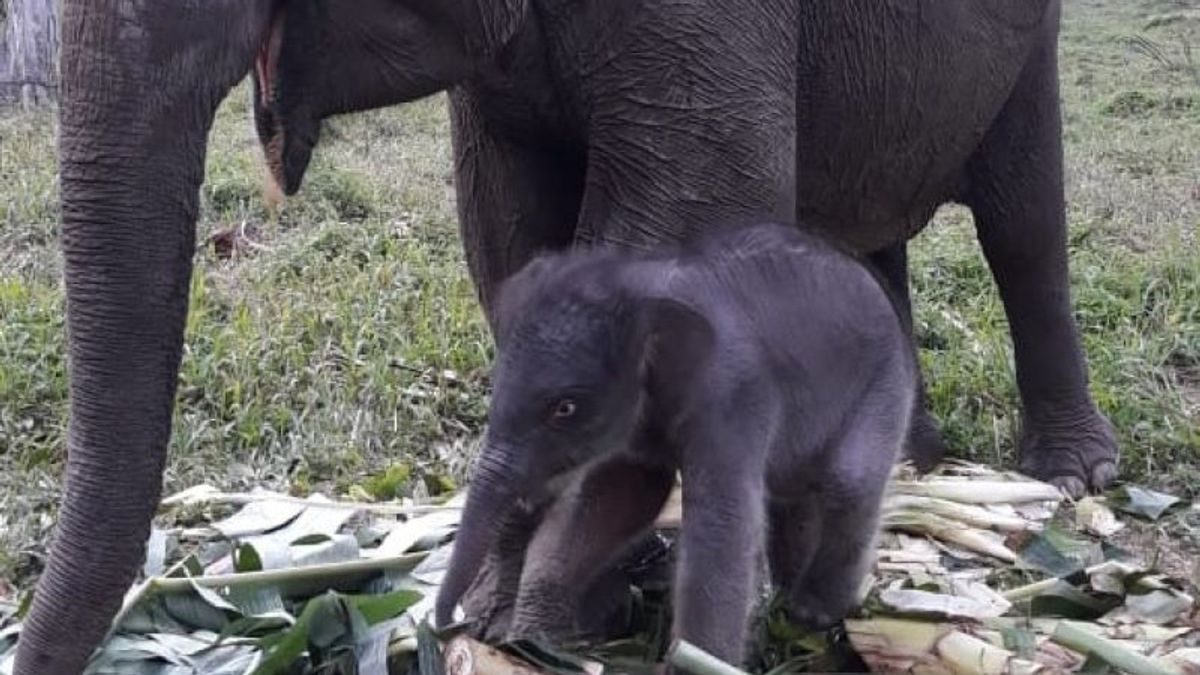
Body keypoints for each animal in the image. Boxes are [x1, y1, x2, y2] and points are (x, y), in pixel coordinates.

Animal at [436, 222, 912, 662]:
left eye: (564, 408)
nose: (449, 626)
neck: (648, 284)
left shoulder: (734, 396)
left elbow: (722, 527)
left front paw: (697, 662)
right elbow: (622, 495)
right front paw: (533, 639)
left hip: (885, 386)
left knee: (850, 480)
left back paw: (812, 612)